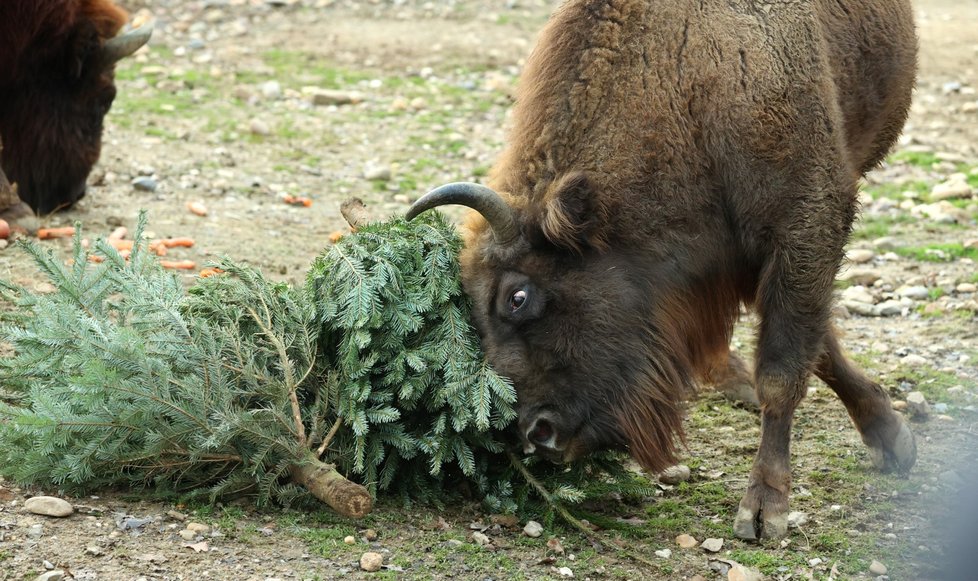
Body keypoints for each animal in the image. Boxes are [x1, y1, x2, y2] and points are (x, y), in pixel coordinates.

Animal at [408, 0, 920, 540]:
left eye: (517, 296)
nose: (534, 434)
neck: (686, 84)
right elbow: (812, 347)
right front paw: (889, 436)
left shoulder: (806, 226)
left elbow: (783, 370)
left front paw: (763, 509)